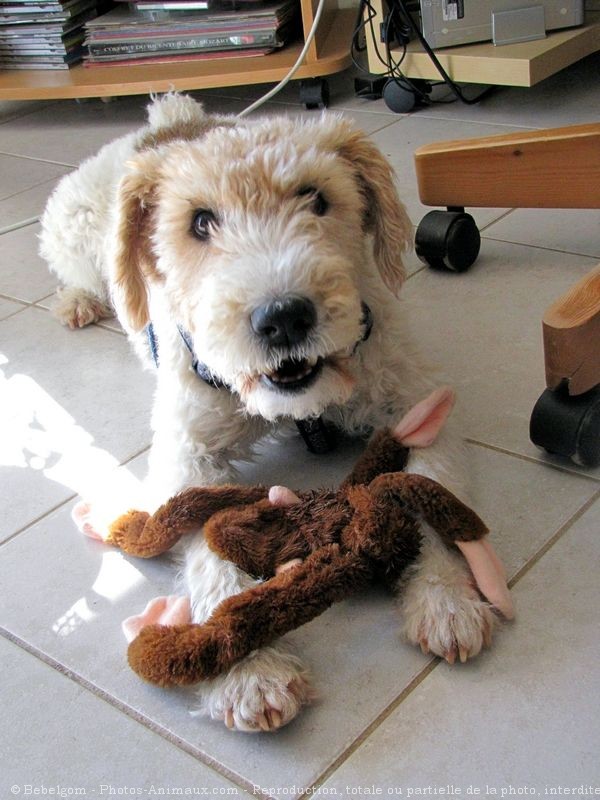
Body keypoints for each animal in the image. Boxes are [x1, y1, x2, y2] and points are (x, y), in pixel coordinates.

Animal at [41, 92, 496, 732]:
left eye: (317, 198)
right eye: (199, 221)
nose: (283, 318)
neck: (297, 404)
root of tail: (169, 121)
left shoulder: (416, 400)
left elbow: (421, 493)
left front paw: (445, 601)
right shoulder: (188, 453)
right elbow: (205, 534)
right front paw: (246, 671)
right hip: (75, 232)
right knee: (80, 275)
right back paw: (78, 302)